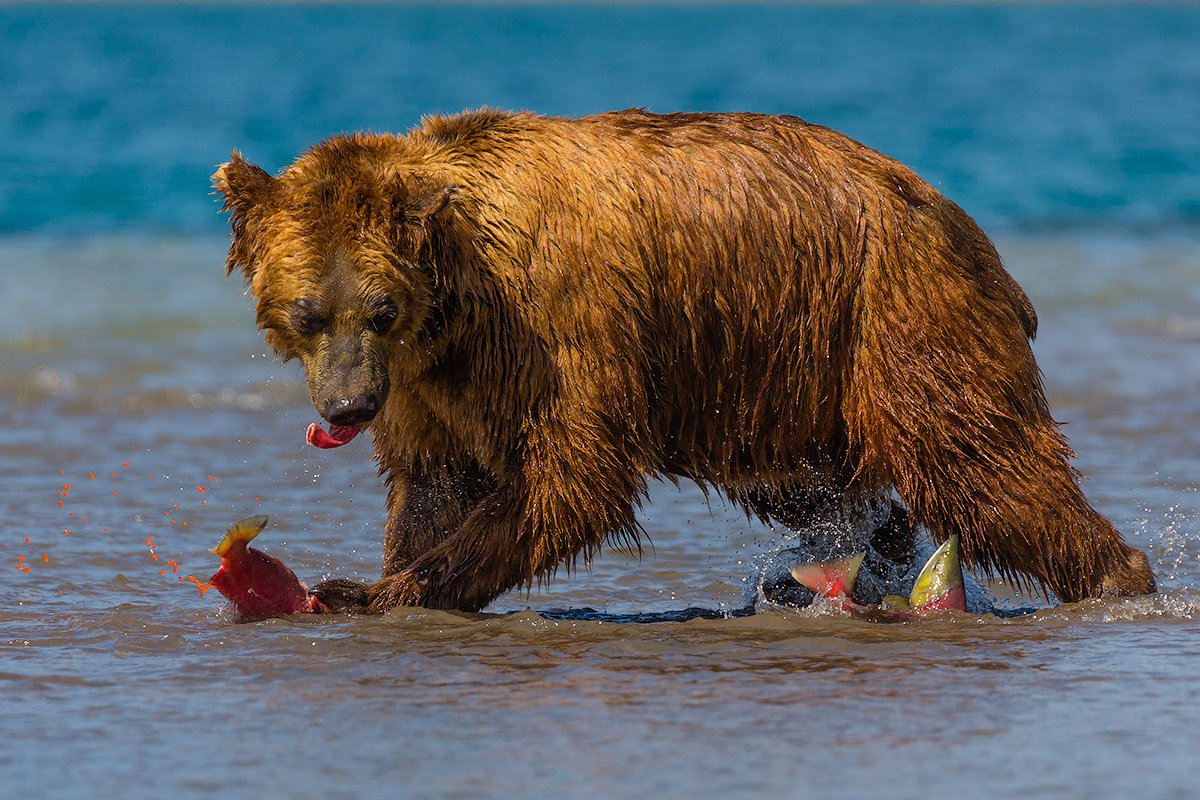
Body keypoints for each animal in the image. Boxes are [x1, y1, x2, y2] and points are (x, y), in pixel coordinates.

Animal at [213, 107, 1152, 614]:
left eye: (379, 308)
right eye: (306, 313)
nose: (344, 409)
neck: (459, 304)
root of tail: (965, 223)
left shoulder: (562, 326)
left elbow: (567, 478)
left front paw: (379, 589)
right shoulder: (433, 381)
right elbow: (434, 481)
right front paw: (382, 573)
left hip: (895, 314)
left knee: (979, 463)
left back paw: (1117, 574)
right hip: (783, 380)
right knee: (820, 484)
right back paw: (873, 552)